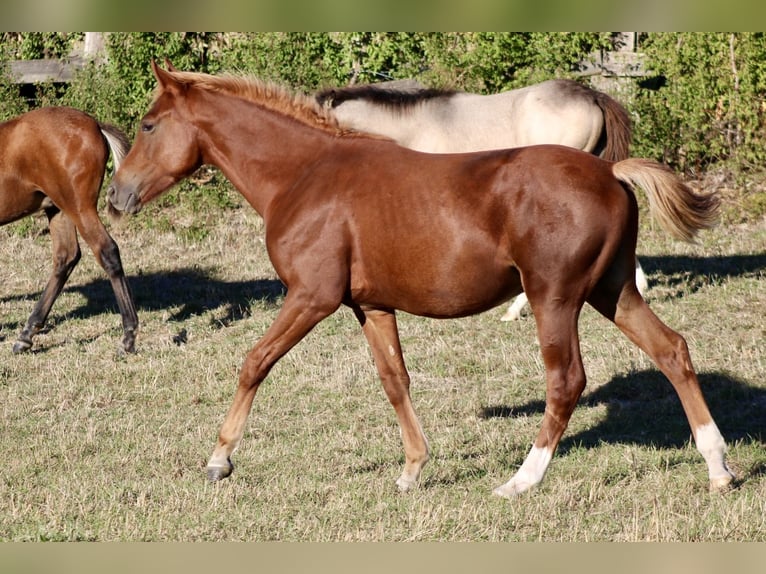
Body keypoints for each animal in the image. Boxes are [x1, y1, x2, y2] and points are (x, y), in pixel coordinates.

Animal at [1, 106, 138, 354]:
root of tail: (95, 125)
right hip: (58, 209)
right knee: (66, 257)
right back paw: (27, 334)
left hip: (78, 207)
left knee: (107, 251)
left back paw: (128, 336)